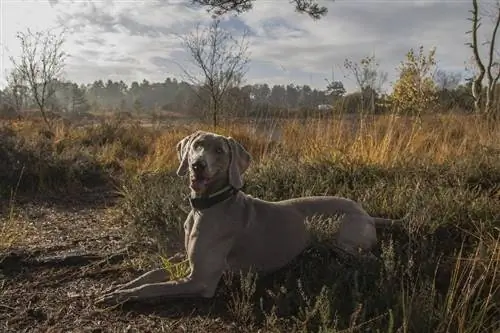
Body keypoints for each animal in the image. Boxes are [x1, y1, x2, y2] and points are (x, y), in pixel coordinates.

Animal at [96, 129, 402, 304]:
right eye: (197, 145)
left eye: (220, 151)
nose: (197, 165)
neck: (206, 207)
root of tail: (366, 213)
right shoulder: (188, 260)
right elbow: (150, 274)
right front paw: (120, 286)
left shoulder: (201, 280)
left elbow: (152, 288)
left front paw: (120, 296)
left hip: (346, 244)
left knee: (370, 261)